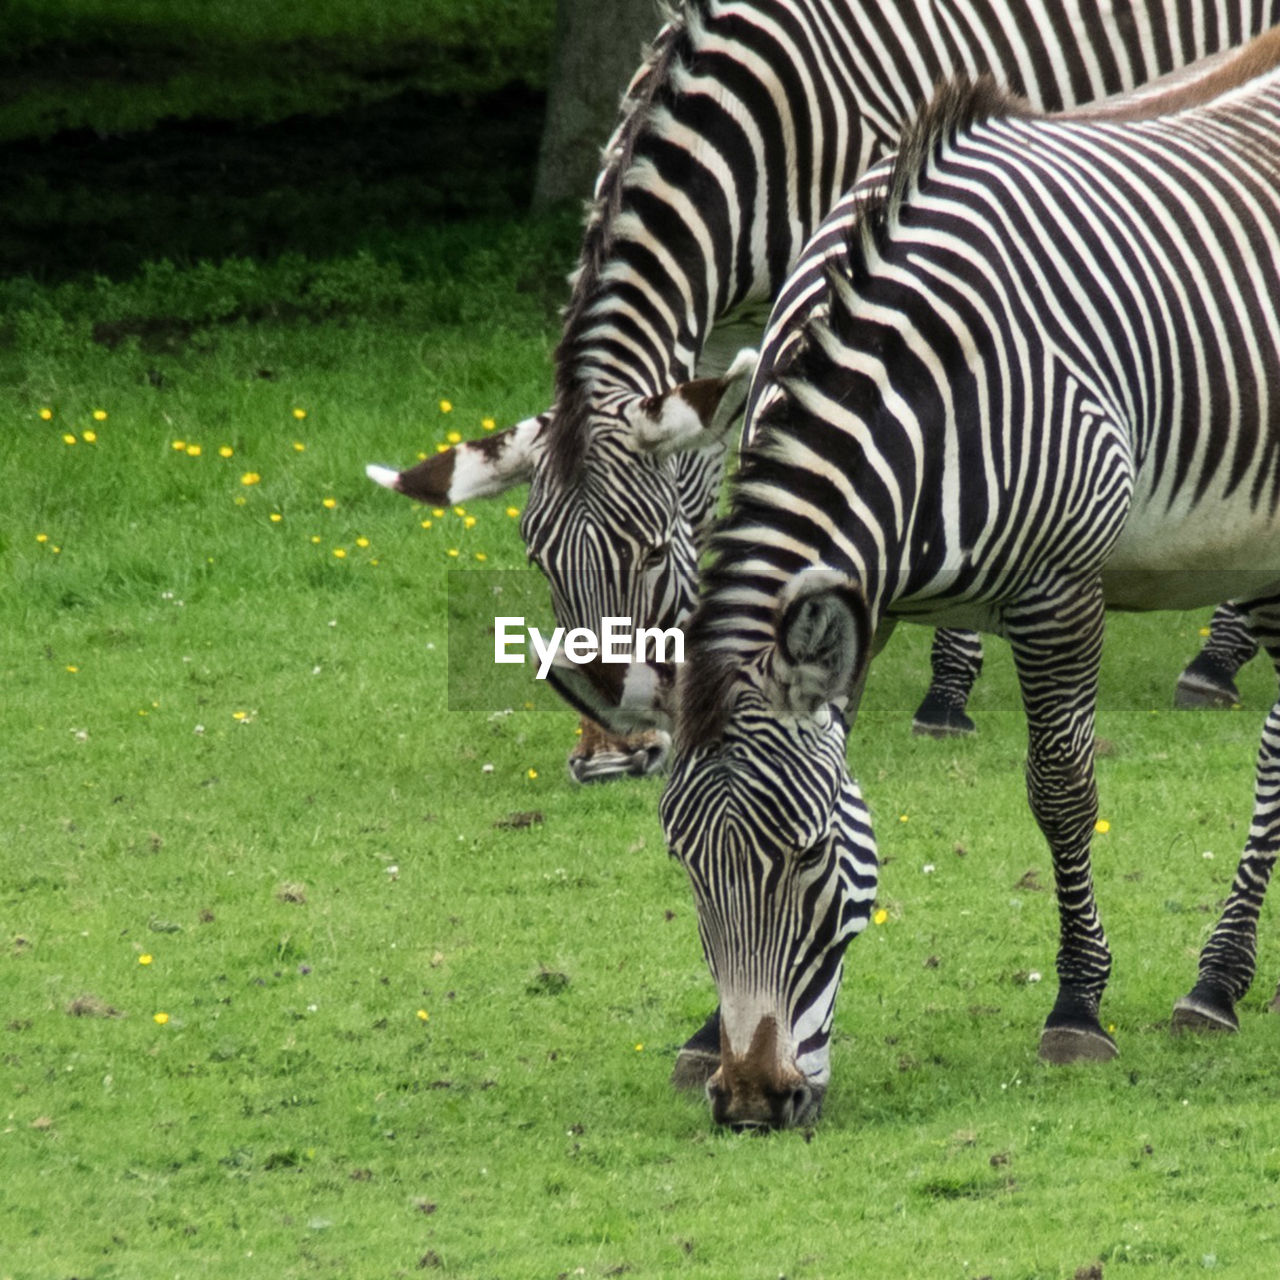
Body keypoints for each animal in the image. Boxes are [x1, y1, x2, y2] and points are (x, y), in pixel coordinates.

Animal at [368, 0, 1280, 783]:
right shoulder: (729, 327)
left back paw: (1219, 656)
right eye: (538, 558)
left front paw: (946, 694)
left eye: (652, 552)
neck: (758, 121)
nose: (611, 756)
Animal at [660, 32, 1280, 1131]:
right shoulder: (859, 603)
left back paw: (1213, 979)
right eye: (684, 862)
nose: (753, 1101)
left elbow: (1062, 790)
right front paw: (701, 1033)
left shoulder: (1059, 589)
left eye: (809, 854)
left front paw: (1077, 1004)